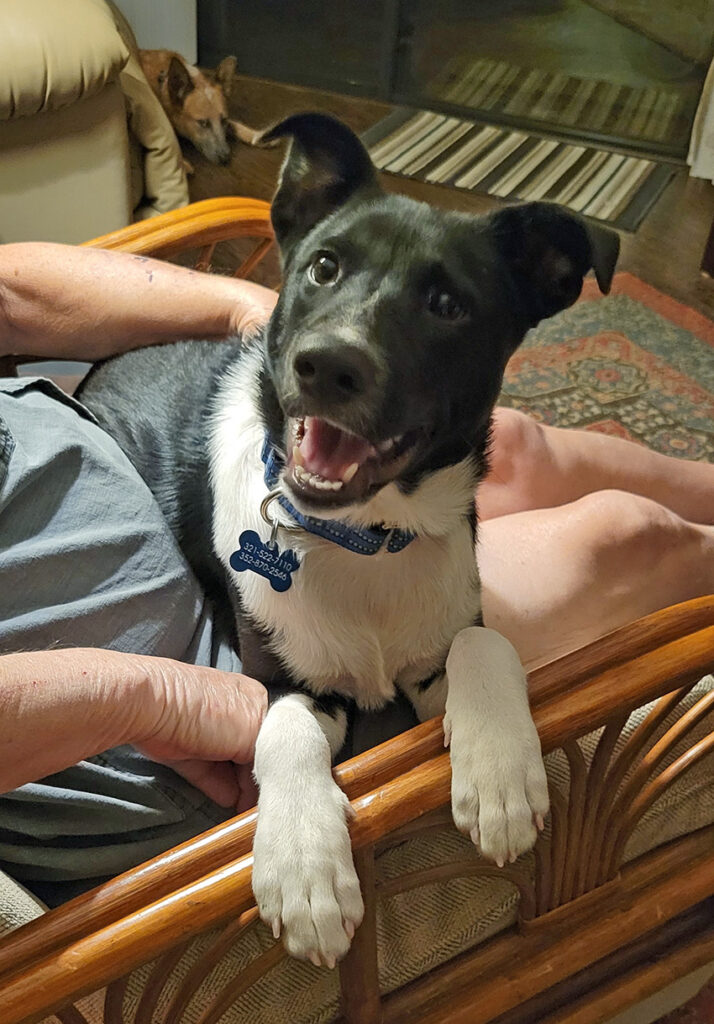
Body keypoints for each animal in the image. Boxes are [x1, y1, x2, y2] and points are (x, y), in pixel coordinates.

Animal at [77, 112, 618, 966]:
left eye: (448, 304)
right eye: (324, 267)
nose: (329, 365)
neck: (365, 539)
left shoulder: (443, 635)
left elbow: (483, 642)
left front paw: (500, 774)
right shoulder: (280, 678)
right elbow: (287, 729)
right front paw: (303, 868)